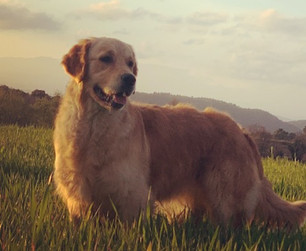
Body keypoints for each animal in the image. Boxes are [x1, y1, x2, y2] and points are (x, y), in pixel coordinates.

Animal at [53, 37, 306, 227]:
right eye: (106, 58)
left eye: (130, 63)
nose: (130, 79)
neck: (93, 127)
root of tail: (242, 131)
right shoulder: (76, 192)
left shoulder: (131, 193)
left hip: (226, 194)